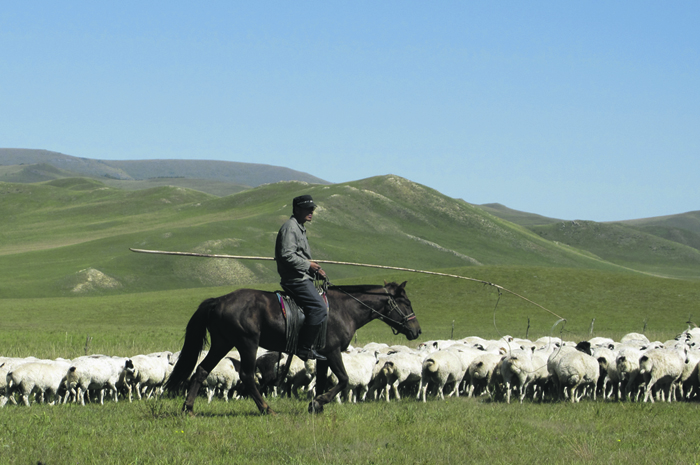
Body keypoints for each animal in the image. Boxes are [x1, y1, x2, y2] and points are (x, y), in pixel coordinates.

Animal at [164, 280, 422, 414]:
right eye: (406, 302)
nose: (417, 331)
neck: (345, 309)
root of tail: (218, 301)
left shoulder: (322, 356)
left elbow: (322, 381)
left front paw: (316, 406)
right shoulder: (332, 352)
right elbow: (343, 379)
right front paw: (318, 402)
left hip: (222, 343)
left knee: (201, 370)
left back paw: (188, 408)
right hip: (247, 343)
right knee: (247, 375)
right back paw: (266, 408)